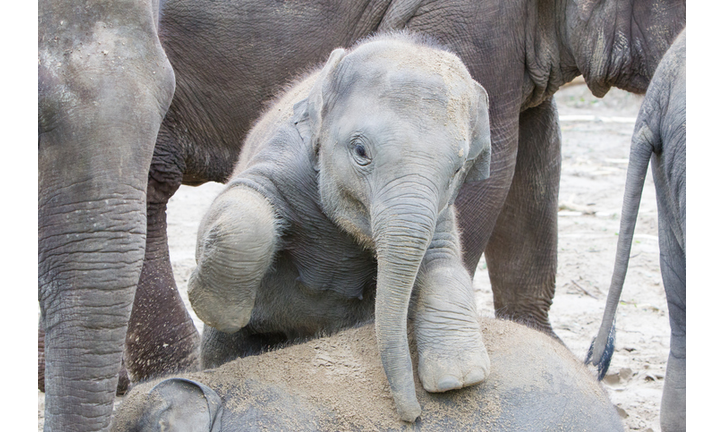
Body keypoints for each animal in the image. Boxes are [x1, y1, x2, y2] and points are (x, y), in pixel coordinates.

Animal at [187, 33, 492, 422]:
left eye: (457, 169)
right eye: (360, 150)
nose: (413, 416)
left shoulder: (440, 209)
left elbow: (442, 259)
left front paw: (460, 378)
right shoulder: (287, 155)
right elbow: (243, 203)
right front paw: (217, 308)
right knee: (220, 350)